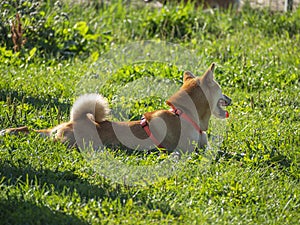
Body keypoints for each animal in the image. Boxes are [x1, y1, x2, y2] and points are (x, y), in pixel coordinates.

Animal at [0, 63, 231, 153]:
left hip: (52, 131)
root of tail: (76, 120)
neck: (185, 114)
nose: (230, 99)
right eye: (220, 89)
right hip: (75, 143)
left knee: (30, 130)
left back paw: (8, 131)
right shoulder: (185, 149)